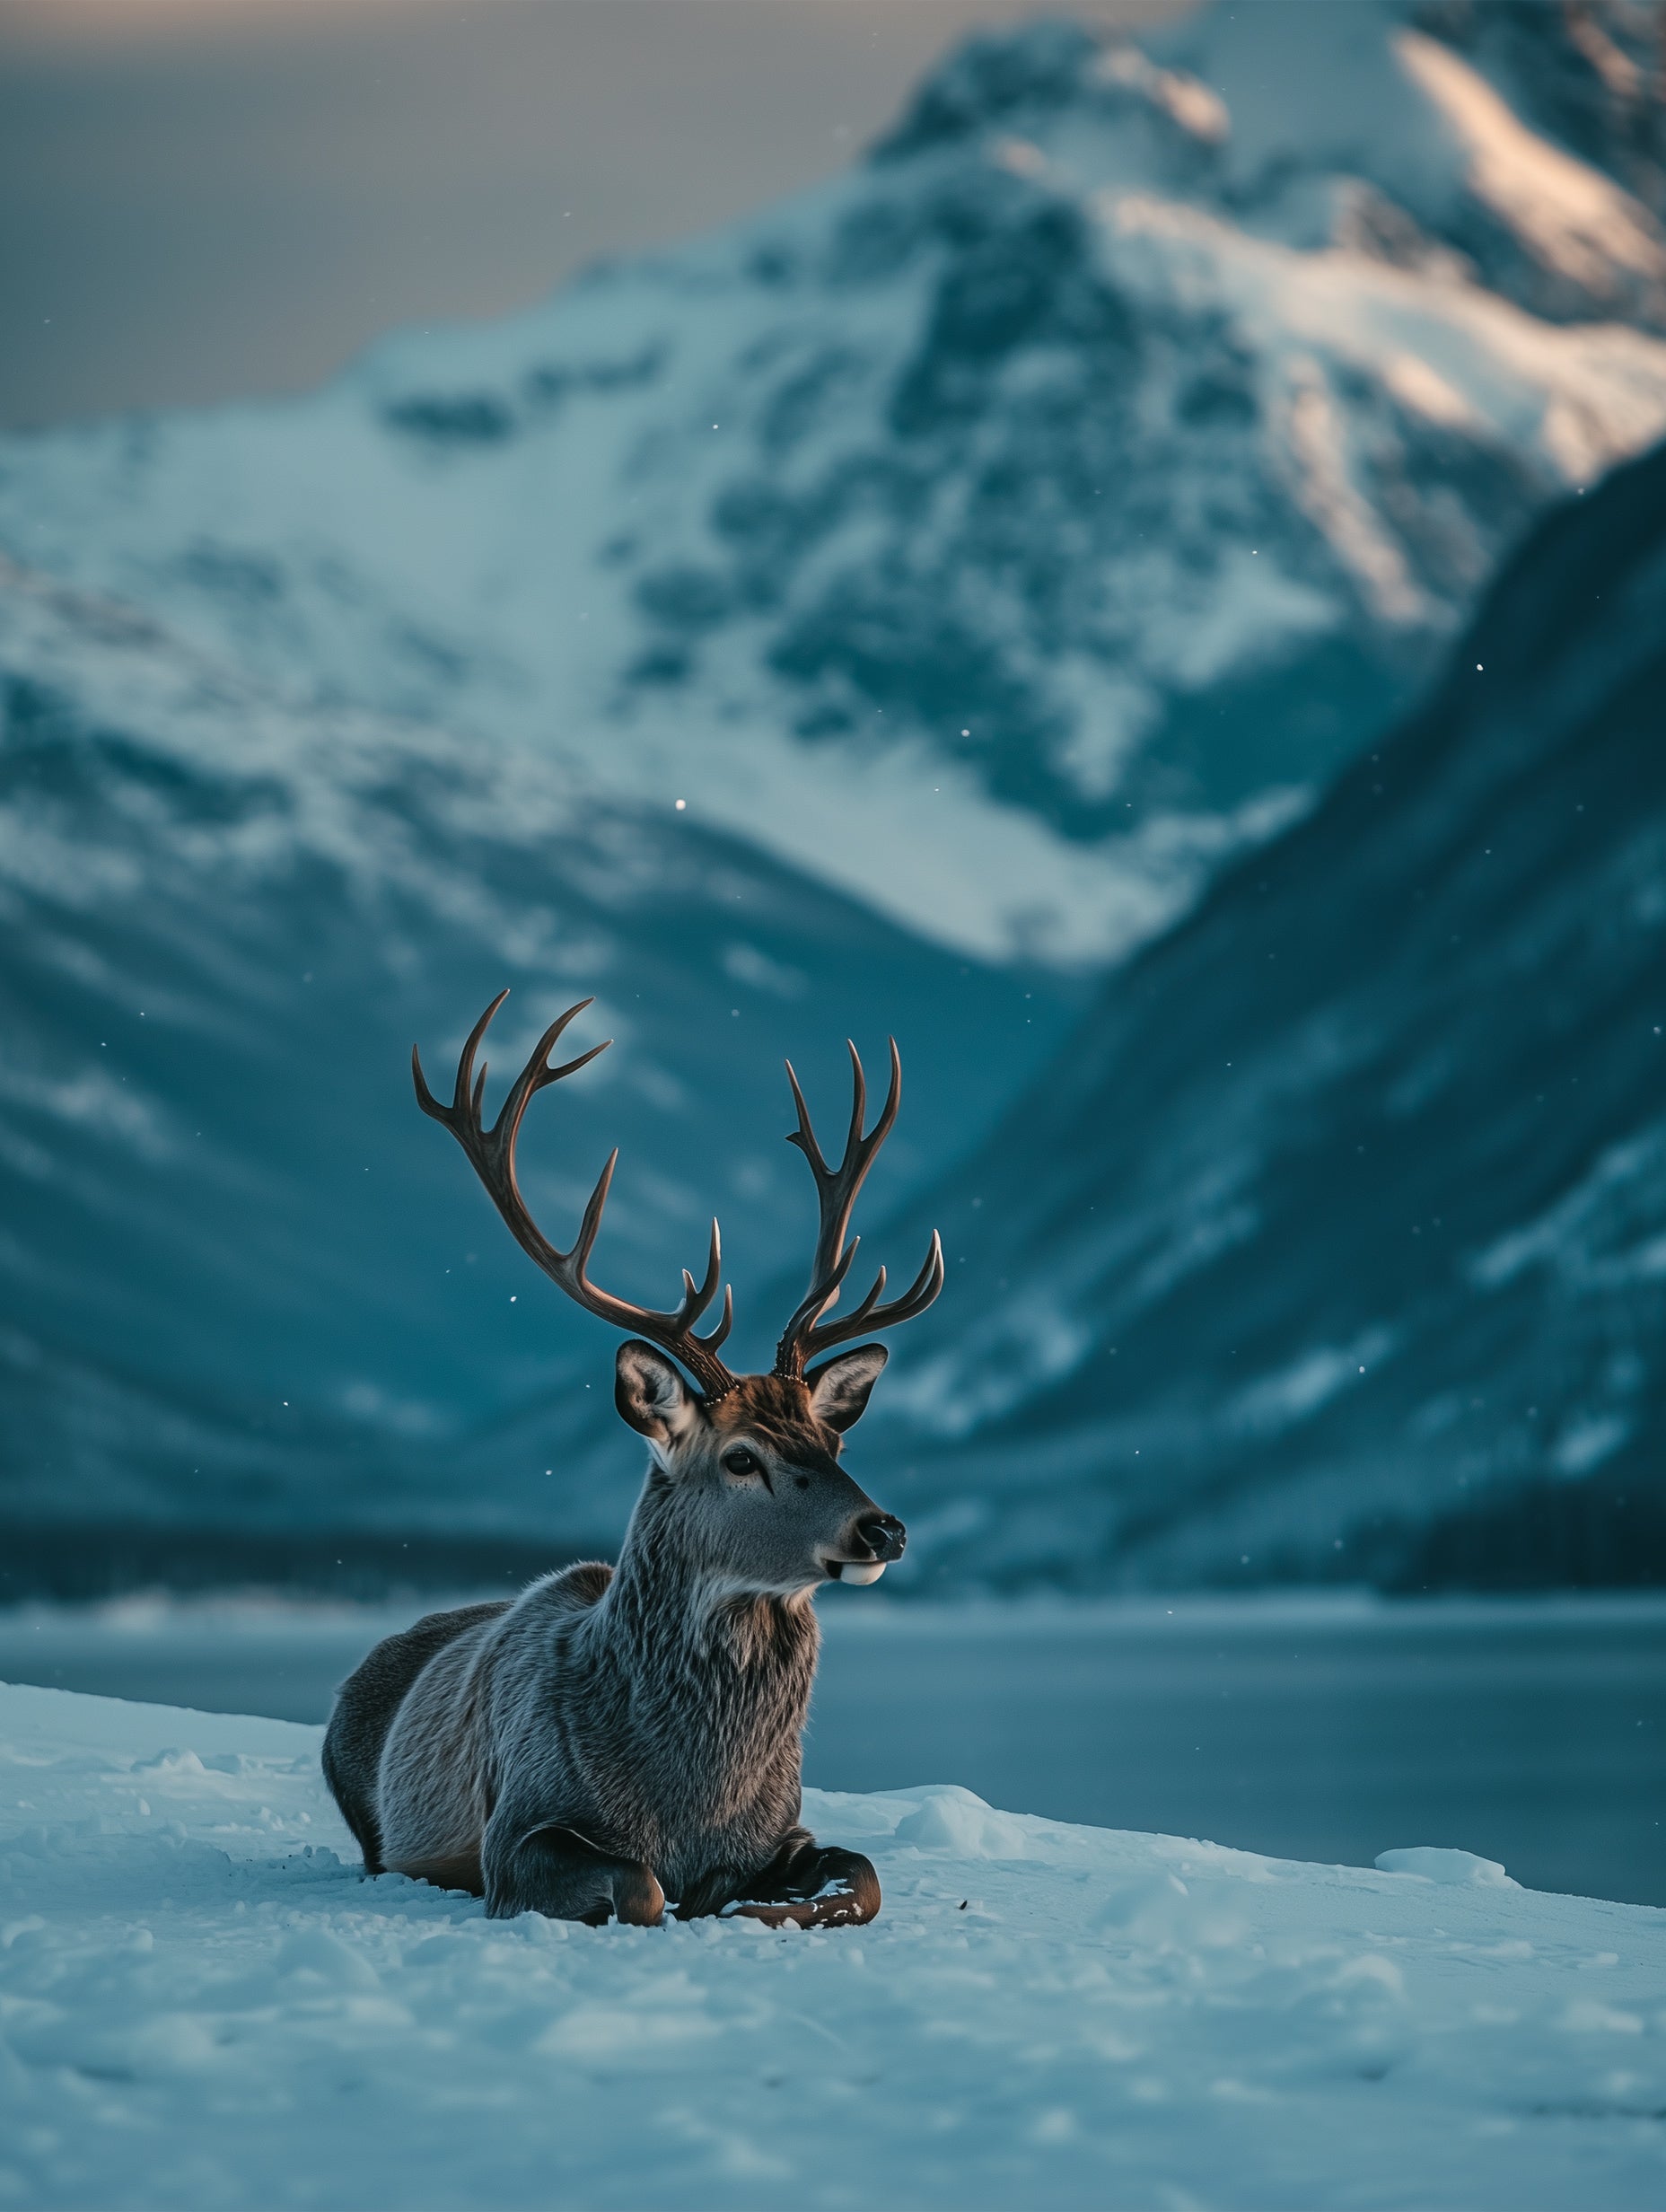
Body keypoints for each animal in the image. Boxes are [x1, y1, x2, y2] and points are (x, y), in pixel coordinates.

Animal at [322, 989, 943, 1929]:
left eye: (833, 1440)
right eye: (740, 1457)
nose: (884, 1529)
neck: (689, 1800)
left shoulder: (785, 1826)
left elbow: (860, 1878)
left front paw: (743, 1902)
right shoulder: (518, 1831)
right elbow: (644, 1888)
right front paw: (692, 1900)